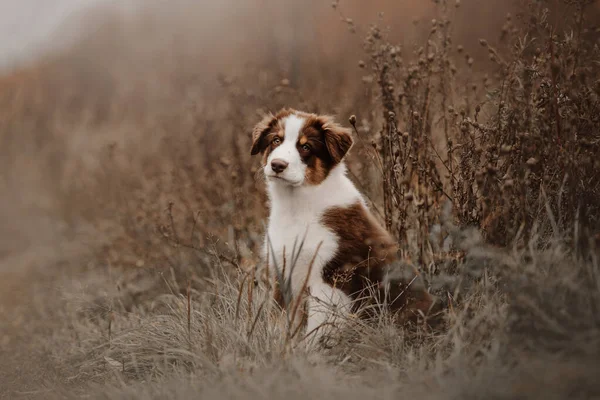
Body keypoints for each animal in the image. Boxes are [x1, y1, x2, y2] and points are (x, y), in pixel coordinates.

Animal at [251, 108, 438, 344]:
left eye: (306, 147)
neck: (297, 205)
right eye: (276, 140)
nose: (277, 165)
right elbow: (280, 319)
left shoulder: (330, 277)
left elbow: (316, 327)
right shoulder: (282, 270)